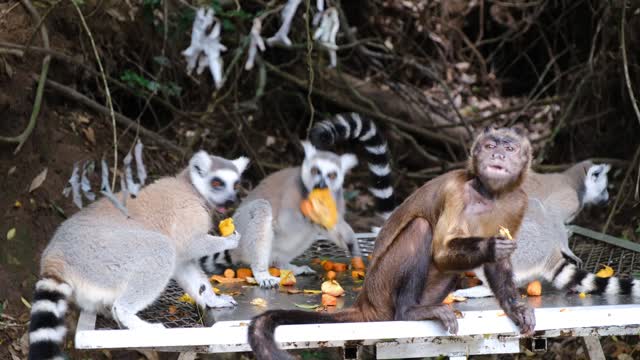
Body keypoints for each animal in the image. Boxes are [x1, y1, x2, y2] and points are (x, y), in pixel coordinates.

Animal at [249, 127, 536, 360]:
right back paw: (409, 311)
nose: (497, 155)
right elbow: (442, 252)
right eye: (490, 146)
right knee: (420, 228)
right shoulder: (457, 191)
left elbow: (498, 264)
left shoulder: (518, 200)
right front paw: (491, 247)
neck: (488, 194)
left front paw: (515, 307)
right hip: (382, 286)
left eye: (509, 148)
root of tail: (366, 301)